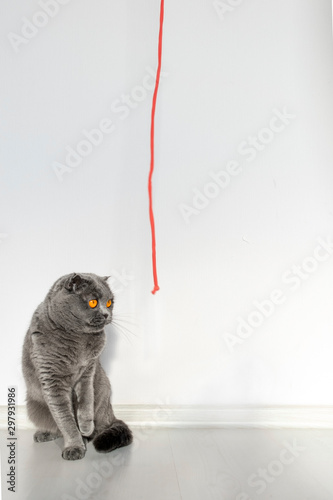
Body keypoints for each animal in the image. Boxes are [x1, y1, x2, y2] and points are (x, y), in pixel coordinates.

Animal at [20, 274, 132, 460]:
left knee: (100, 426)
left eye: (110, 302)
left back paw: (87, 435)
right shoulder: (52, 380)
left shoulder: (88, 372)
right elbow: (65, 419)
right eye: (93, 302)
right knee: (56, 426)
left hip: (103, 390)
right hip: (34, 404)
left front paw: (85, 429)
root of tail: (110, 413)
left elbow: (85, 403)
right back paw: (45, 433)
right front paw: (74, 446)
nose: (106, 314)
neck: (77, 338)